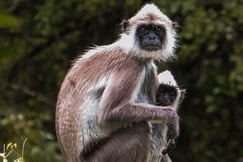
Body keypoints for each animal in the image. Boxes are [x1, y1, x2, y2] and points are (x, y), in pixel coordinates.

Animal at [56, 3, 179, 162]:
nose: (151, 37)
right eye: (144, 29)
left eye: (157, 29)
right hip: (102, 157)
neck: (129, 49)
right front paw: (171, 116)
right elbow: (109, 113)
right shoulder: (131, 65)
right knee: (142, 128)